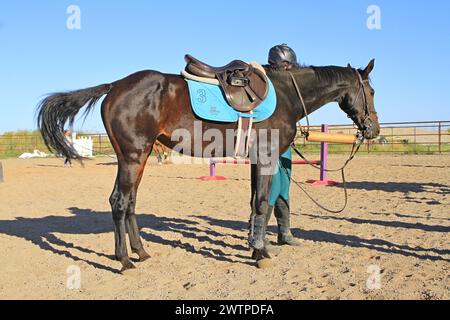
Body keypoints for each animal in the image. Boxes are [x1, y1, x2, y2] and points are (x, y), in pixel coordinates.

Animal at [37, 58, 380, 272]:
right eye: (372, 91)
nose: (373, 130)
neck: (284, 95)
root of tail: (114, 86)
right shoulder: (267, 158)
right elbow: (263, 203)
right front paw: (261, 252)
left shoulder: (257, 160)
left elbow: (258, 204)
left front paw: (254, 245)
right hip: (133, 156)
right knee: (119, 202)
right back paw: (124, 260)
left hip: (139, 157)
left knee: (130, 202)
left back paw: (141, 251)